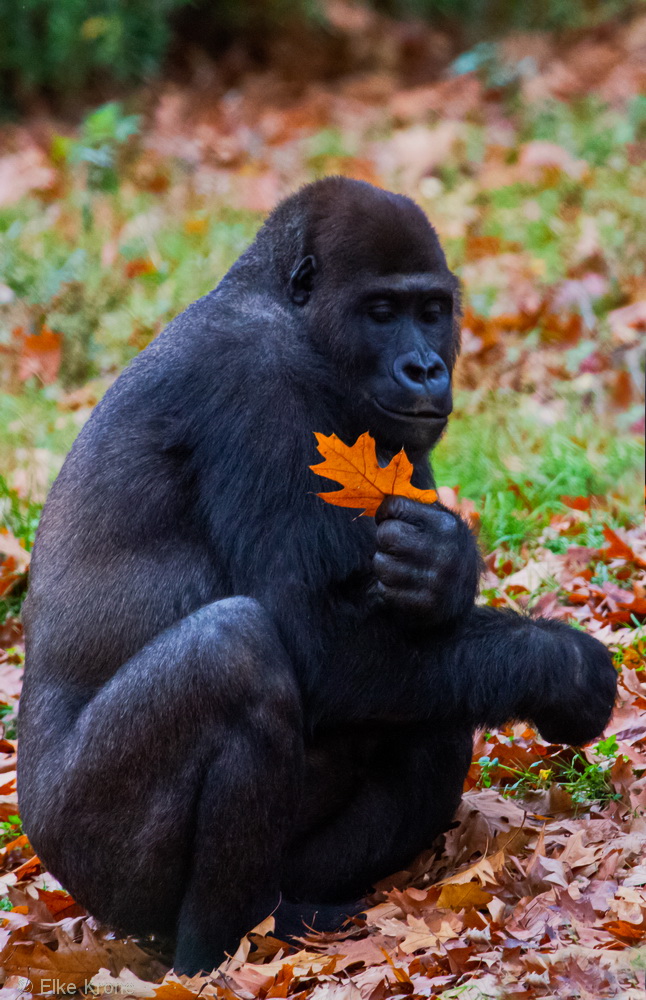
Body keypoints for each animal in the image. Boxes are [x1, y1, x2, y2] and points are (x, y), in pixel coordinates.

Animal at [17, 176, 620, 972]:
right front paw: (565, 669)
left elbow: (401, 633)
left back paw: (295, 911)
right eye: (382, 311)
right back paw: (212, 951)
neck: (288, 315)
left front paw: (445, 568)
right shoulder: (255, 384)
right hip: (92, 863)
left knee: (434, 706)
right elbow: (320, 641)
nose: (426, 367)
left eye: (432, 311)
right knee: (235, 652)